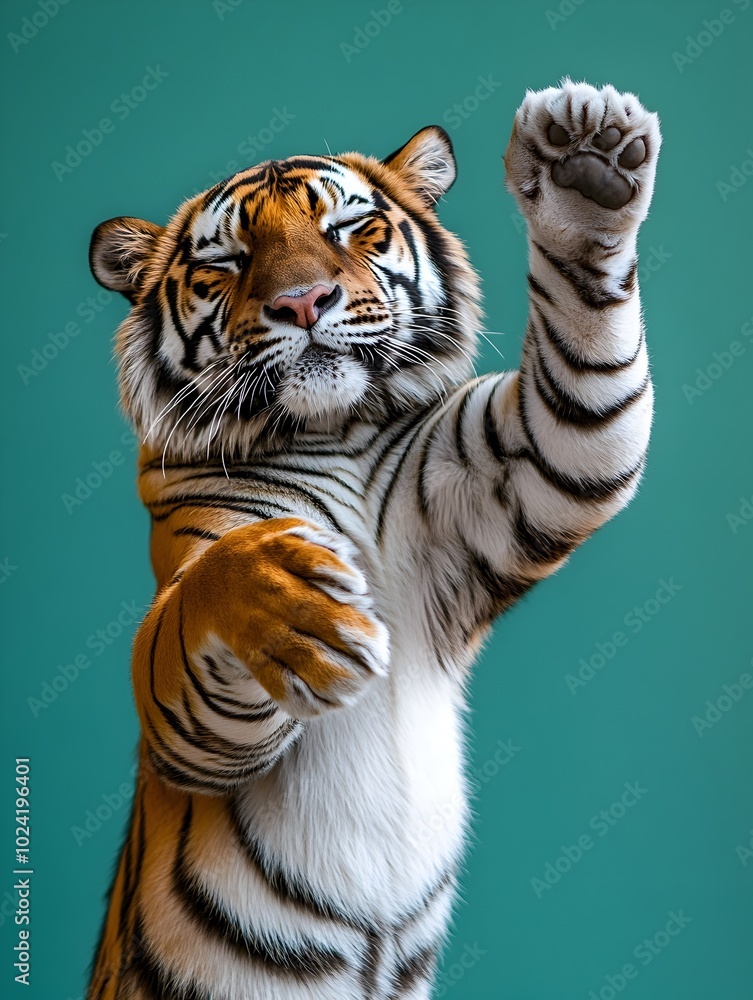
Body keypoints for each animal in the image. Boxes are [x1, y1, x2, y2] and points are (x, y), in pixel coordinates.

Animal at [85, 80, 660, 1000]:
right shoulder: (187, 729)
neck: (333, 430)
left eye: (348, 229)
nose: (300, 302)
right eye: (228, 262)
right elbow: (217, 580)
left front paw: (587, 166)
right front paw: (298, 616)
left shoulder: (515, 471)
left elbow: (581, 385)